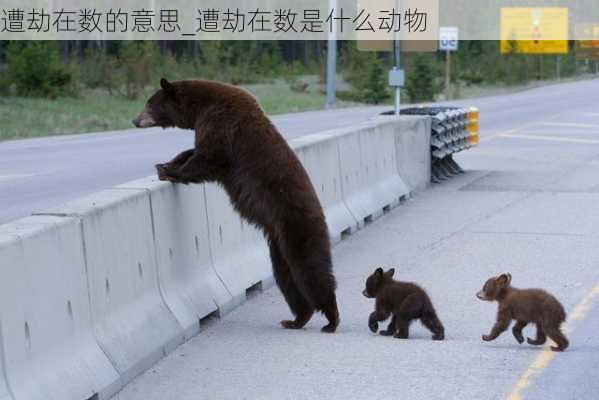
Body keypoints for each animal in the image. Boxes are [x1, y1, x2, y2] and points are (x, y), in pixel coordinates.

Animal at [135, 77, 342, 332]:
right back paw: (296, 319)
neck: (201, 106)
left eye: (149, 103)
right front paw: (167, 162)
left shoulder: (221, 125)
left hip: (298, 227)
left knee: (311, 270)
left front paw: (170, 171)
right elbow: (193, 151)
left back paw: (331, 319)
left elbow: (207, 158)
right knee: (286, 277)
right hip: (278, 246)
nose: (135, 120)